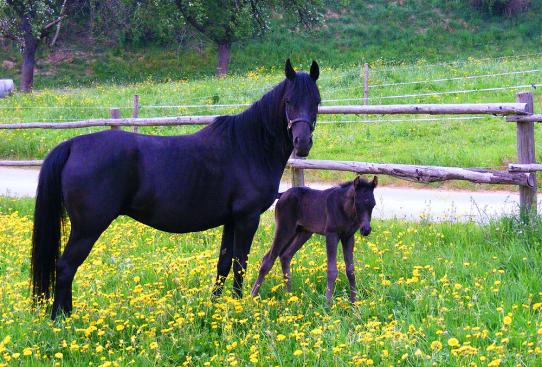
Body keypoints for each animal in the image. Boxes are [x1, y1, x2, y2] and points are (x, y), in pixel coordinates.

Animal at [31, 59, 320, 320]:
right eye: (288, 102)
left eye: (316, 101)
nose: (302, 143)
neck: (247, 147)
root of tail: (72, 145)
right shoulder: (247, 219)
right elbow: (240, 265)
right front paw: (239, 308)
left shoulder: (231, 220)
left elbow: (224, 265)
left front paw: (216, 308)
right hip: (88, 228)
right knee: (66, 267)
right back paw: (61, 320)